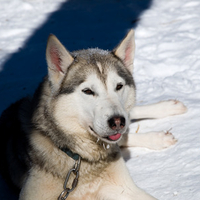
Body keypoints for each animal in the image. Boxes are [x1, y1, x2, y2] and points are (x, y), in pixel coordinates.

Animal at [0, 28, 188, 199]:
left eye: (119, 86)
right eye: (88, 91)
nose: (117, 121)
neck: (78, 157)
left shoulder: (126, 189)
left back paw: (169, 111)